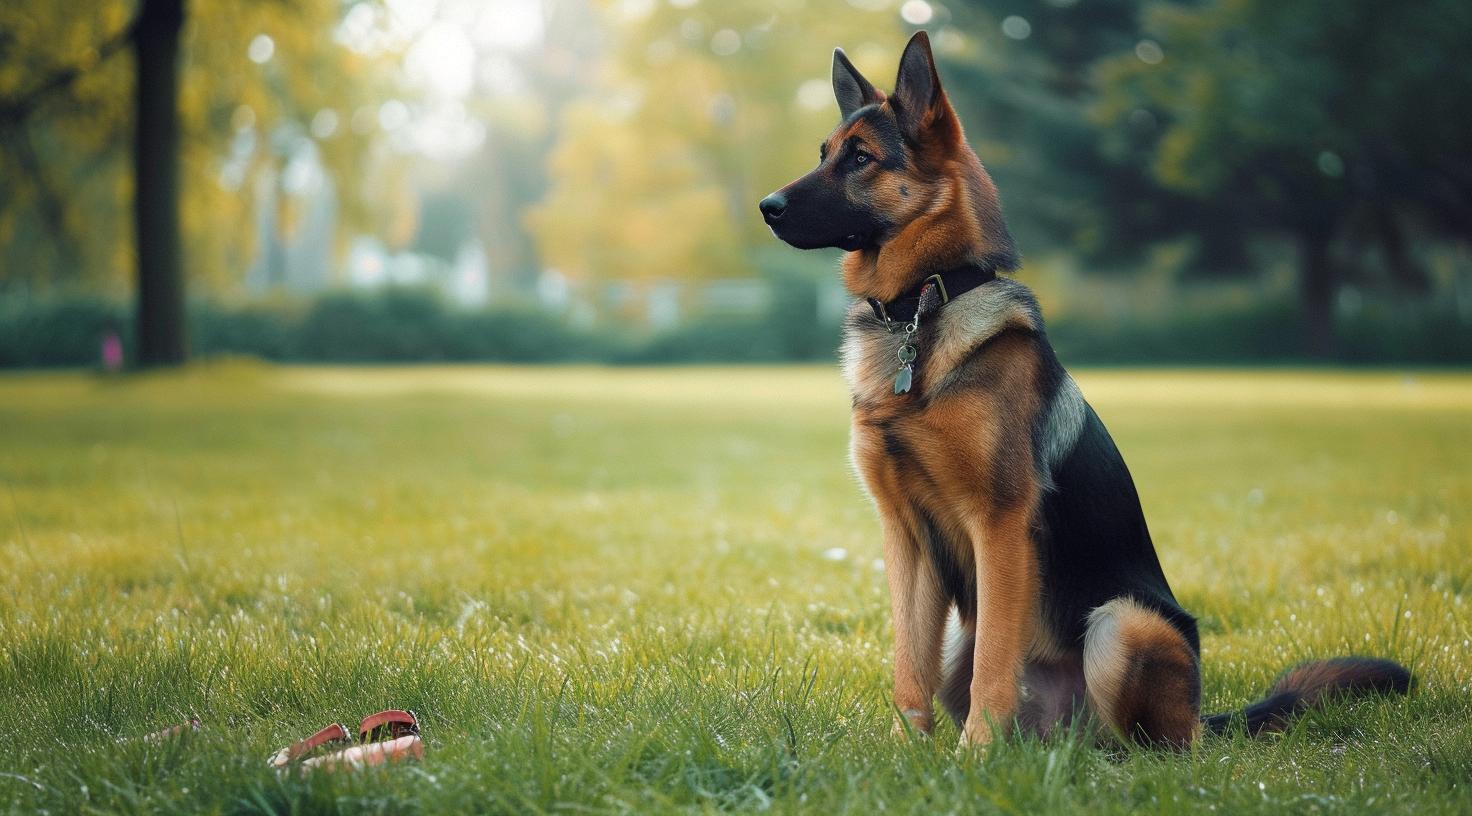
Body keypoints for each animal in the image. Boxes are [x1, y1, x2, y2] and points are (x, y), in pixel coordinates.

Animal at [753, 30, 1407, 742]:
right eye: (824, 154)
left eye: (861, 159)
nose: (766, 208)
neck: (923, 307)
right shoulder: (907, 540)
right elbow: (908, 668)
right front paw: (907, 751)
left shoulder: (999, 528)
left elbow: (994, 666)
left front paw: (973, 755)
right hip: (971, 630)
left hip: (1121, 624)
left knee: (1158, 746)